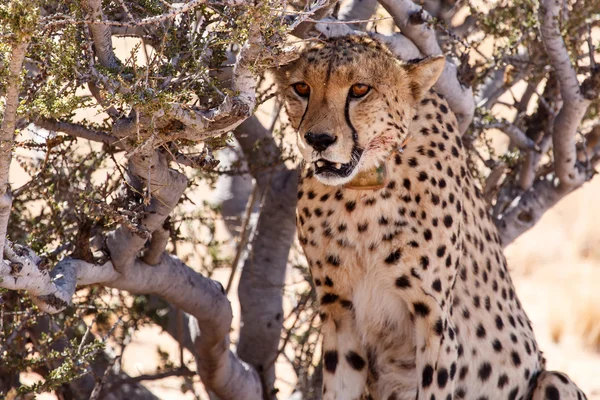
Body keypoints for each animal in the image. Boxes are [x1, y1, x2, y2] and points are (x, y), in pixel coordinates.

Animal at [274, 34, 588, 400]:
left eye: (359, 89)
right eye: (301, 87)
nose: (318, 139)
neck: (364, 190)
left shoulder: (435, 320)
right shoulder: (339, 312)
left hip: (554, 379)